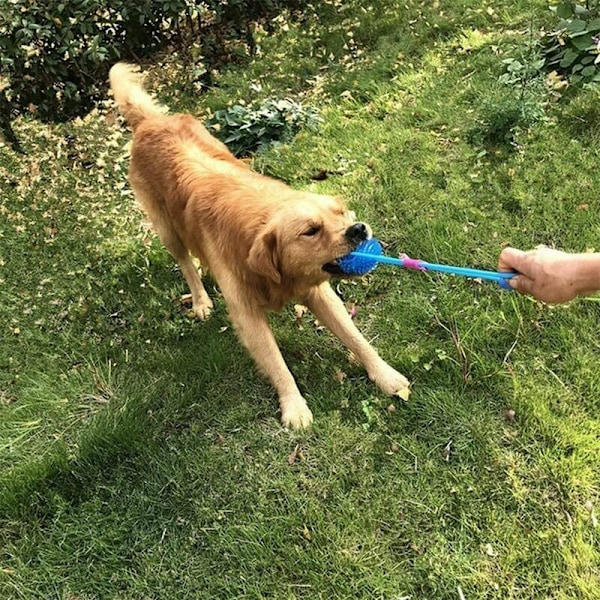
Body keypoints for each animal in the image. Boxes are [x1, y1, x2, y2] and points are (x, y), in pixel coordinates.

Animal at [109, 63, 408, 428]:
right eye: (311, 230)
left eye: (340, 212)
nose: (358, 229)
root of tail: (151, 121)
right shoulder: (246, 313)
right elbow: (277, 363)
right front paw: (294, 407)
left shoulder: (318, 293)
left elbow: (355, 336)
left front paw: (385, 376)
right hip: (167, 230)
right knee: (185, 263)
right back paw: (200, 300)